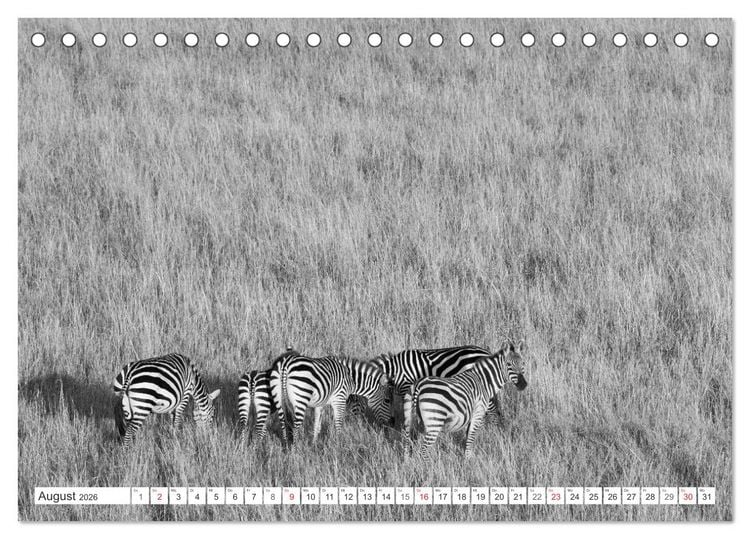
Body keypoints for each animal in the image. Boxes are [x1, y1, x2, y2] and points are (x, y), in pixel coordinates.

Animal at [373, 345, 508, 433]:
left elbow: (409, 412)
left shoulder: (408, 387)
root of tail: (487, 353)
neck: (396, 371)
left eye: (387, 401)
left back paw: (492, 432)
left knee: (493, 412)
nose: (390, 424)